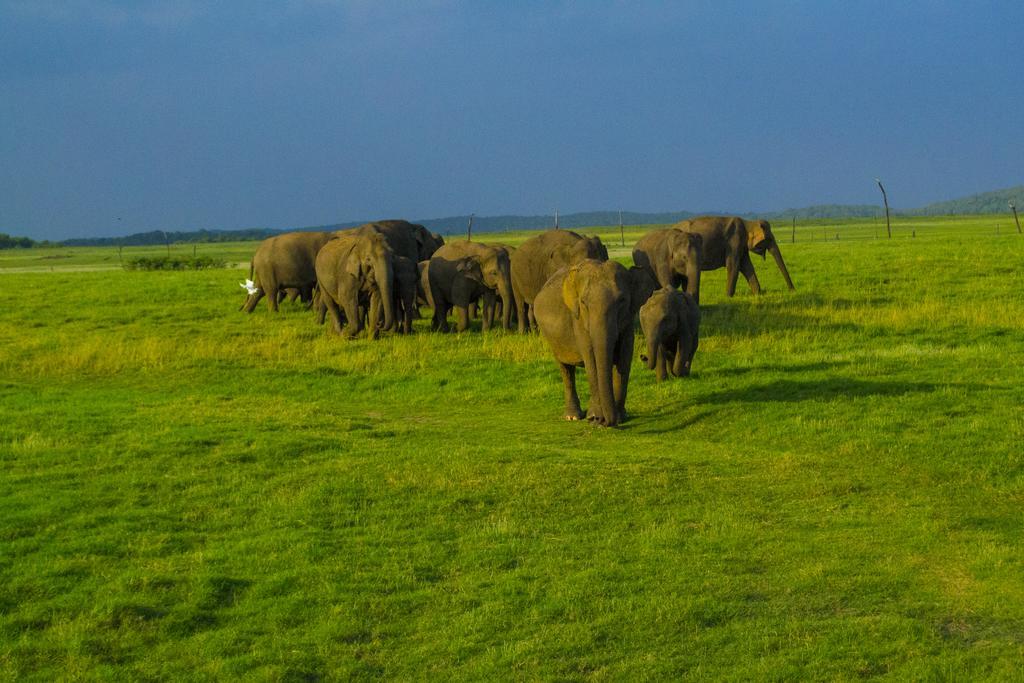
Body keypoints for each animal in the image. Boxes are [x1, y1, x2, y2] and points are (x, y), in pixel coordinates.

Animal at [532, 260, 634, 428]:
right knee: (565, 368)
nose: (603, 421)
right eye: (584, 303)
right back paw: (572, 416)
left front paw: (620, 417)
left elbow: (624, 360)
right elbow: (591, 360)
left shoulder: (628, 320)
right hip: (553, 340)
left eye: (622, 301)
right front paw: (595, 417)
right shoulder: (579, 320)